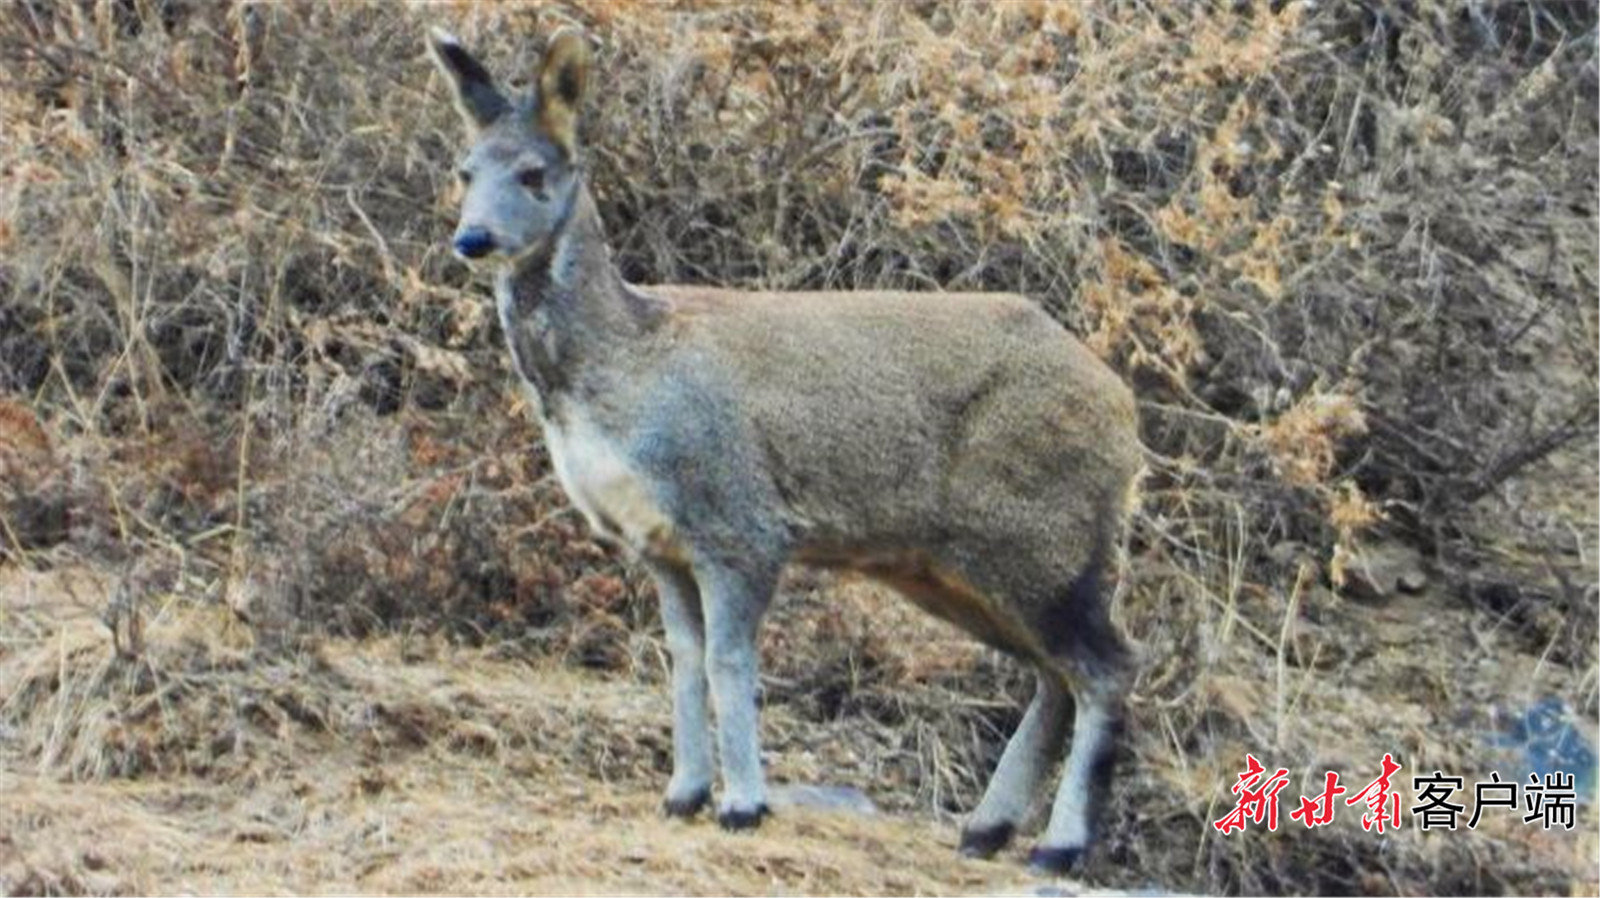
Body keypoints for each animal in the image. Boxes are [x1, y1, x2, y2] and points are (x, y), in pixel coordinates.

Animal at [432, 29, 1145, 877]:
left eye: (534, 173)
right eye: (465, 170)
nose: (472, 238)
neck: (623, 369)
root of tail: (1125, 413)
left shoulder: (739, 521)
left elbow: (729, 663)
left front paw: (743, 805)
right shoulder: (657, 545)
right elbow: (681, 662)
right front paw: (682, 795)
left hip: (1039, 532)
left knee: (1107, 664)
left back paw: (1058, 846)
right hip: (957, 563)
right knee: (1053, 672)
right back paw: (987, 829)